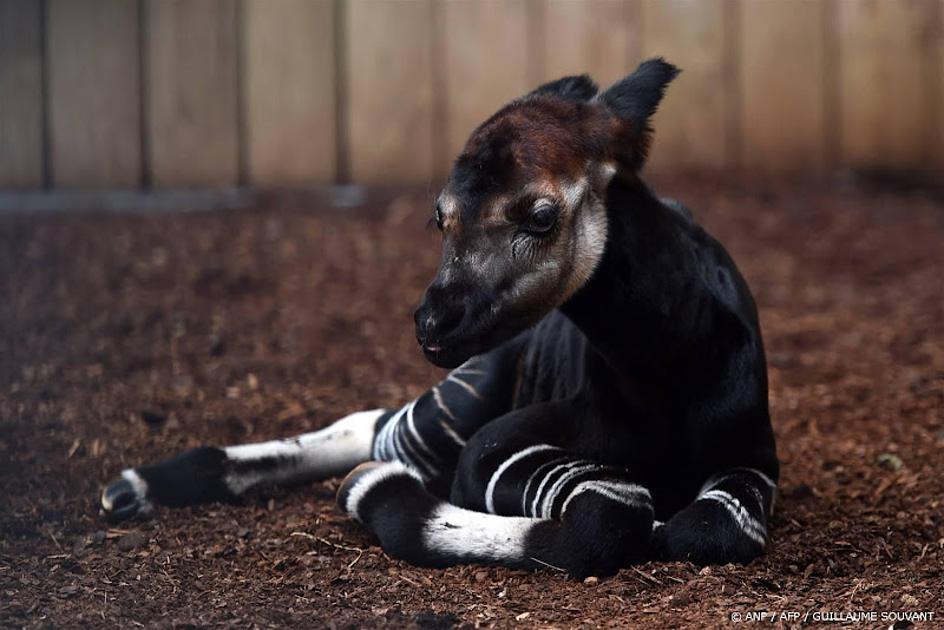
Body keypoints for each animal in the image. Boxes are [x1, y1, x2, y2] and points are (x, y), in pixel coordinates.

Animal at [105, 61, 780, 580]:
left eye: (540, 216)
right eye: (439, 216)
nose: (431, 327)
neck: (668, 363)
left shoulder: (753, 461)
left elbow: (705, 529)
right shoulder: (491, 453)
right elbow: (615, 516)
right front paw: (373, 488)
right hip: (464, 399)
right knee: (377, 427)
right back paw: (132, 487)